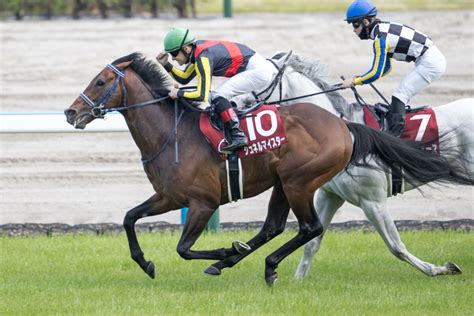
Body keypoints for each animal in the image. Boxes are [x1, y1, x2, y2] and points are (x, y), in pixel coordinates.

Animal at [65, 53, 472, 286]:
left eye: (100, 82)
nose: (71, 112)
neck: (172, 133)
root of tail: (343, 126)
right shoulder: (169, 197)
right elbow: (129, 218)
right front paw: (146, 263)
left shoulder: (203, 203)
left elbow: (183, 248)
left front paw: (225, 250)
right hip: (287, 183)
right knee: (282, 228)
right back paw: (253, 262)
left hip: (298, 181)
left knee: (308, 228)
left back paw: (258, 263)